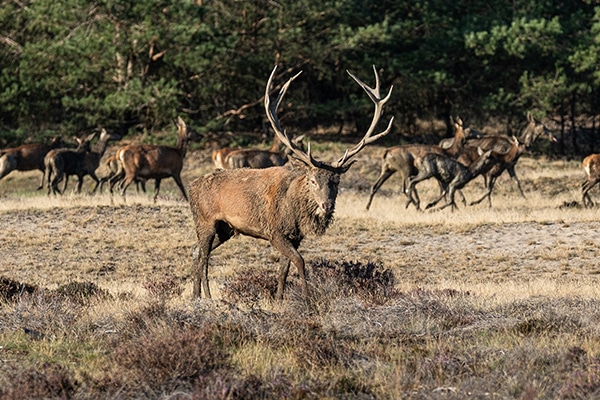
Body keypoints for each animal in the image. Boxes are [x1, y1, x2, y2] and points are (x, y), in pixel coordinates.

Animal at [189, 65, 394, 300]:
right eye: (313, 180)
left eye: (336, 181)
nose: (326, 205)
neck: (295, 212)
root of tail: (192, 186)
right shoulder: (274, 232)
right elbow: (299, 261)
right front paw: (307, 298)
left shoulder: (295, 236)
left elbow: (283, 270)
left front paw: (279, 298)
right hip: (205, 220)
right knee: (203, 256)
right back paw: (203, 296)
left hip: (226, 229)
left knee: (195, 252)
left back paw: (198, 295)